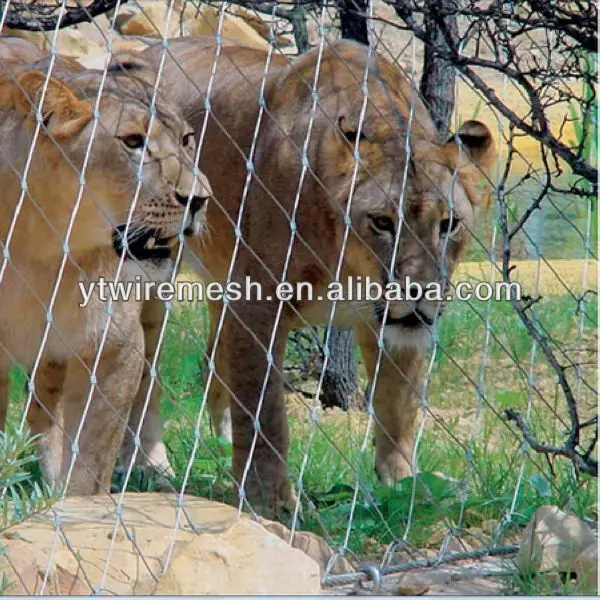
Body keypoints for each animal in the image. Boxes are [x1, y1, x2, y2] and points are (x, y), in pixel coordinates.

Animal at [0, 38, 213, 496]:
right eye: (132, 141)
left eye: (187, 140)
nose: (200, 198)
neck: (46, 249)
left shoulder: (115, 346)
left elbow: (93, 457)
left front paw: (73, 503)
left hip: (153, 313)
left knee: (146, 387)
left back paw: (150, 467)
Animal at [124, 37, 494, 516]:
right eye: (382, 222)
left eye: (448, 225)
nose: (420, 291)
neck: (347, 262)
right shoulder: (257, 303)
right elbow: (265, 413)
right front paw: (271, 501)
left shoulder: (393, 325)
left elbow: (397, 404)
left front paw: (404, 484)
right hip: (151, 271)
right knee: (145, 372)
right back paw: (151, 465)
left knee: (212, 362)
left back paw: (219, 447)